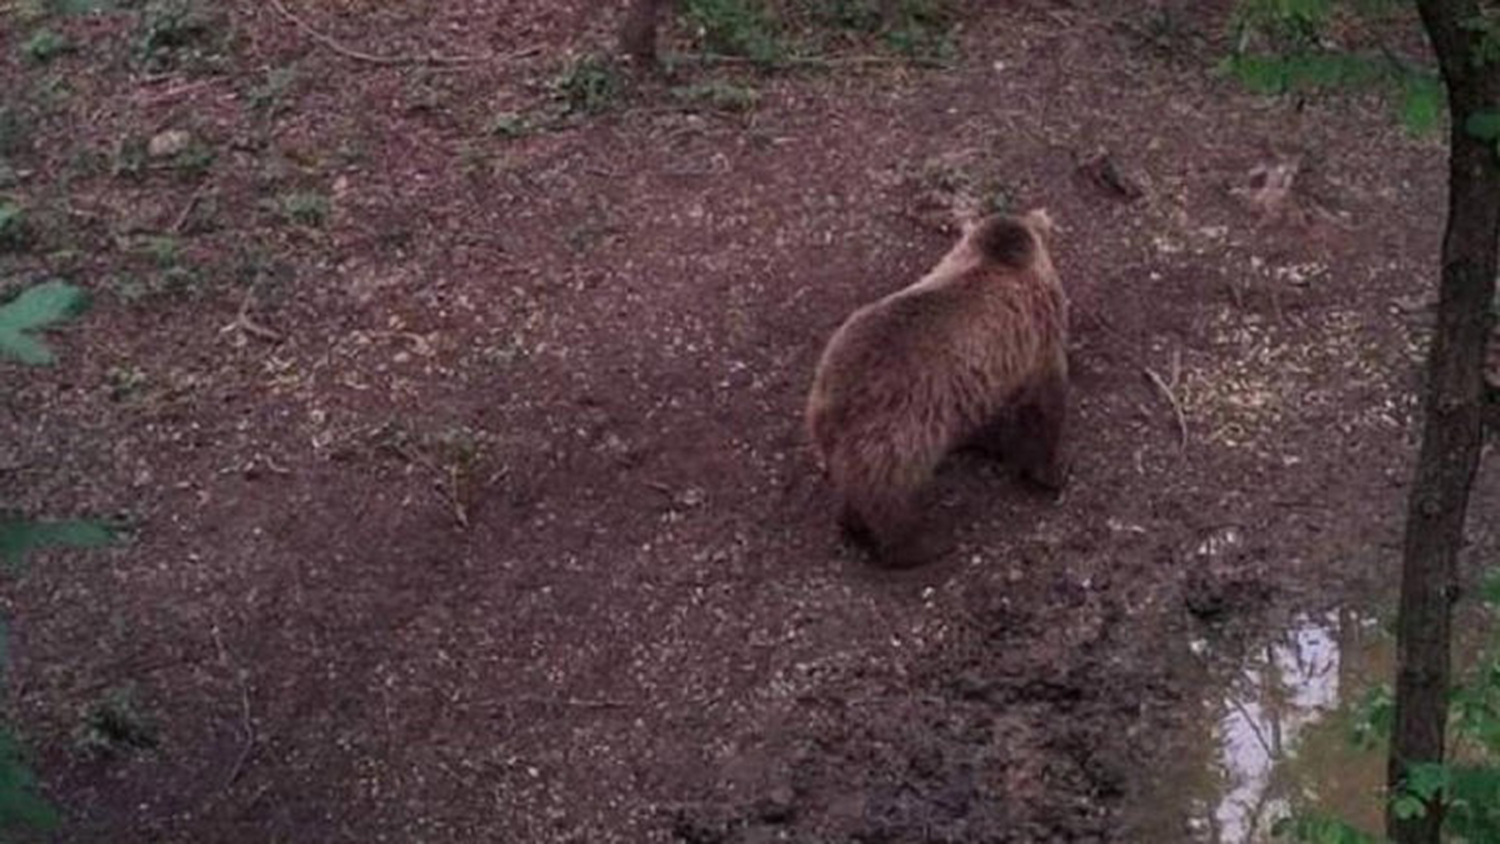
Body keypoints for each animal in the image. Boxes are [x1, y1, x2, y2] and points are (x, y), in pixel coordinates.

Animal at [804, 209, 1074, 566]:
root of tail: (828, 401)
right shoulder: (1037, 338)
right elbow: (1045, 405)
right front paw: (1053, 471)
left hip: (847, 439)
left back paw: (853, 526)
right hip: (898, 429)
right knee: (892, 493)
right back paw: (925, 544)